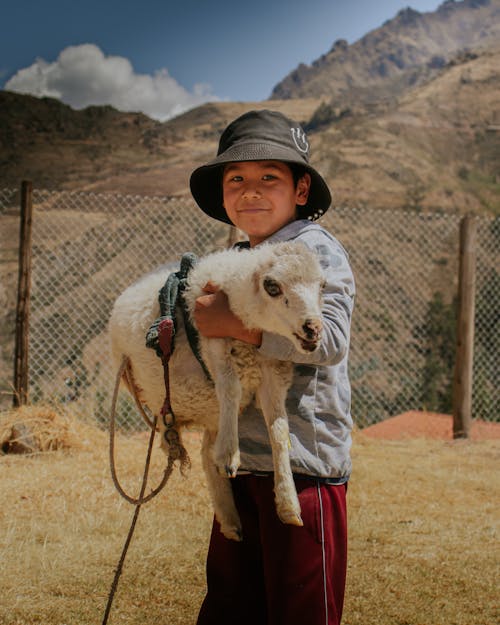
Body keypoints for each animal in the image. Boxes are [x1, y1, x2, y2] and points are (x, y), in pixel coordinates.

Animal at [108, 240, 324, 540]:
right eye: (272, 286)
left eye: (323, 285)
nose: (313, 328)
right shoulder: (214, 345)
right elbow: (231, 389)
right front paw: (230, 456)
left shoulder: (274, 370)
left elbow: (279, 430)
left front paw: (288, 504)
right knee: (173, 425)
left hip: (209, 409)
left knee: (205, 452)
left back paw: (230, 519)